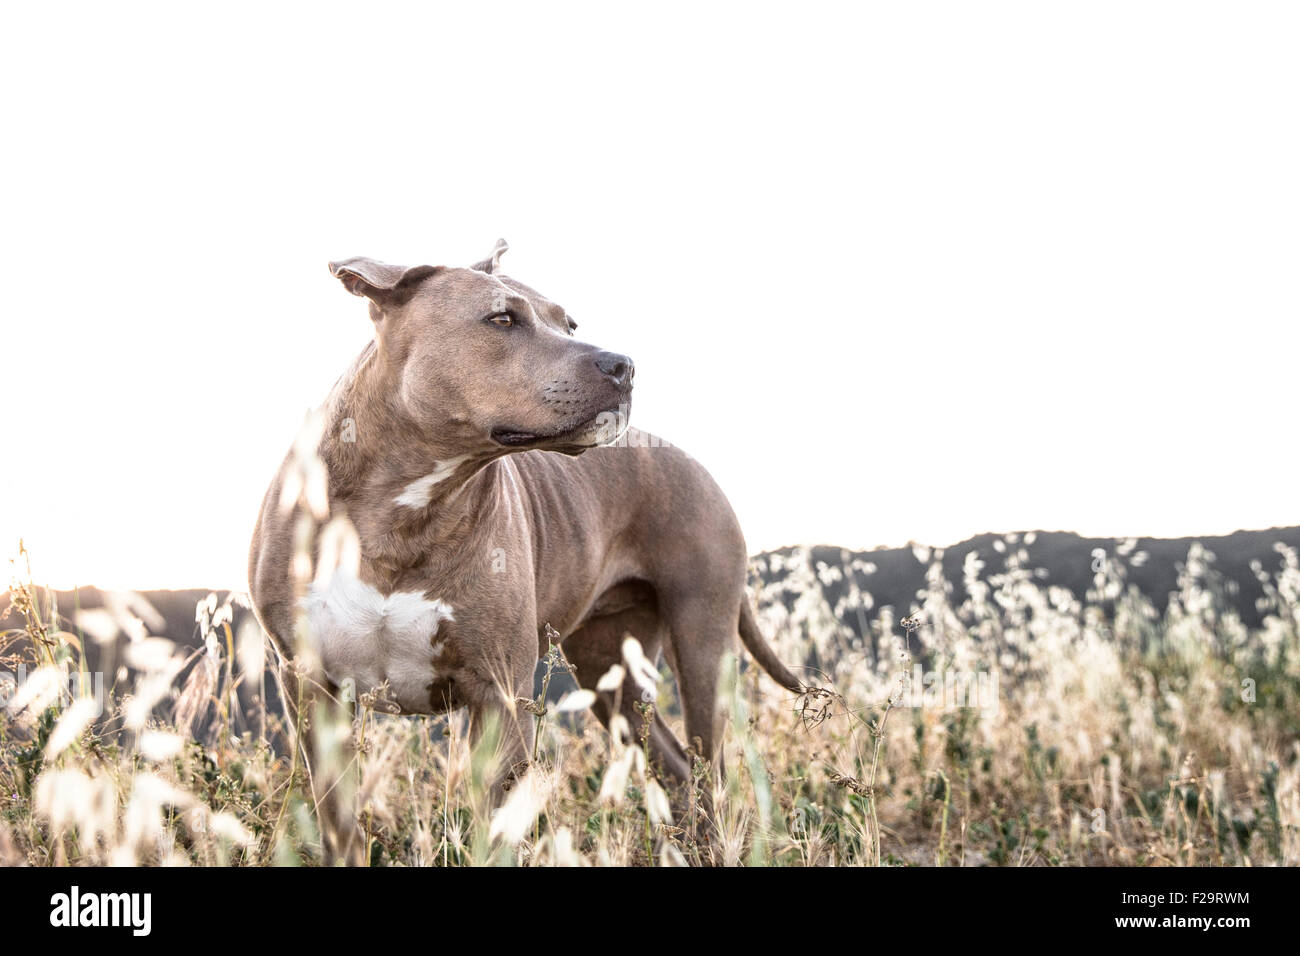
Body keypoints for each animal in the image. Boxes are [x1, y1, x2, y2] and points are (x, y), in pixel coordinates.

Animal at [245, 240, 800, 868]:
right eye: (502, 319)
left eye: (569, 323)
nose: (624, 365)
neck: (400, 509)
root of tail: (697, 464)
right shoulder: (312, 686)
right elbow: (338, 819)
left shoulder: (500, 691)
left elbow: (497, 827)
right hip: (610, 664)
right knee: (676, 764)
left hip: (703, 641)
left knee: (710, 768)